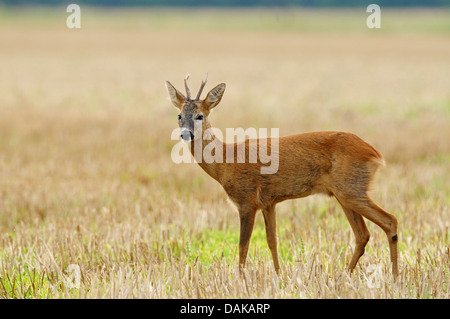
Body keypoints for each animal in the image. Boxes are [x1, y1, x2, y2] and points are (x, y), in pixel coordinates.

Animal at [167, 75, 400, 280]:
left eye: (200, 115)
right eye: (179, 115)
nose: (186, 134)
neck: (225, 162)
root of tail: (374, 153)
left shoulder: (246, 200)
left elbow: (243, 245)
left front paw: (239, 280)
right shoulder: (268, 202)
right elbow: (272, 240)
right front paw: (279, 275)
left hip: (352, 190)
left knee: (390, 221)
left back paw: (395, 277)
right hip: (344, 194)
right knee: (363, 234)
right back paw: (345, 276)